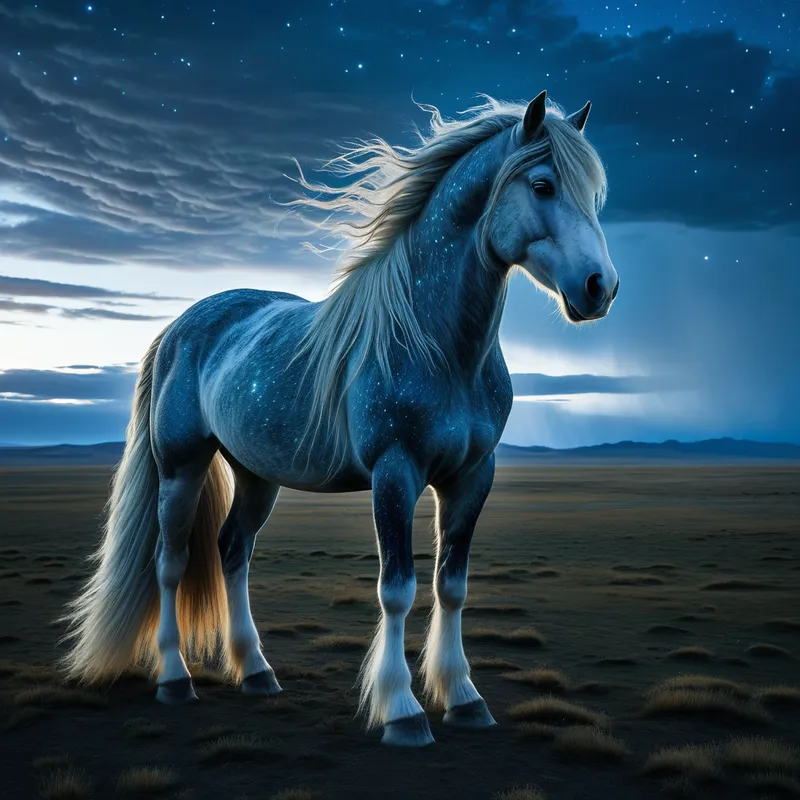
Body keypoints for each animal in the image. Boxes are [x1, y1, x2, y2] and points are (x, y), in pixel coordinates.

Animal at [60, 90, 618, 747]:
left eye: (594, 196)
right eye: (542, 185)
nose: (600, 287)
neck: (438, 345)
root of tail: (179, 326)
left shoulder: (472, 477)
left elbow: (451, 586)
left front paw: (464, 698)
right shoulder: (394, 474)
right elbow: (397, 589)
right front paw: (402, 710)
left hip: (257, 475)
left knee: (231, 552)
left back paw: (257, 672)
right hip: (181, 467)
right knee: (170, 564)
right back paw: (176, 681)